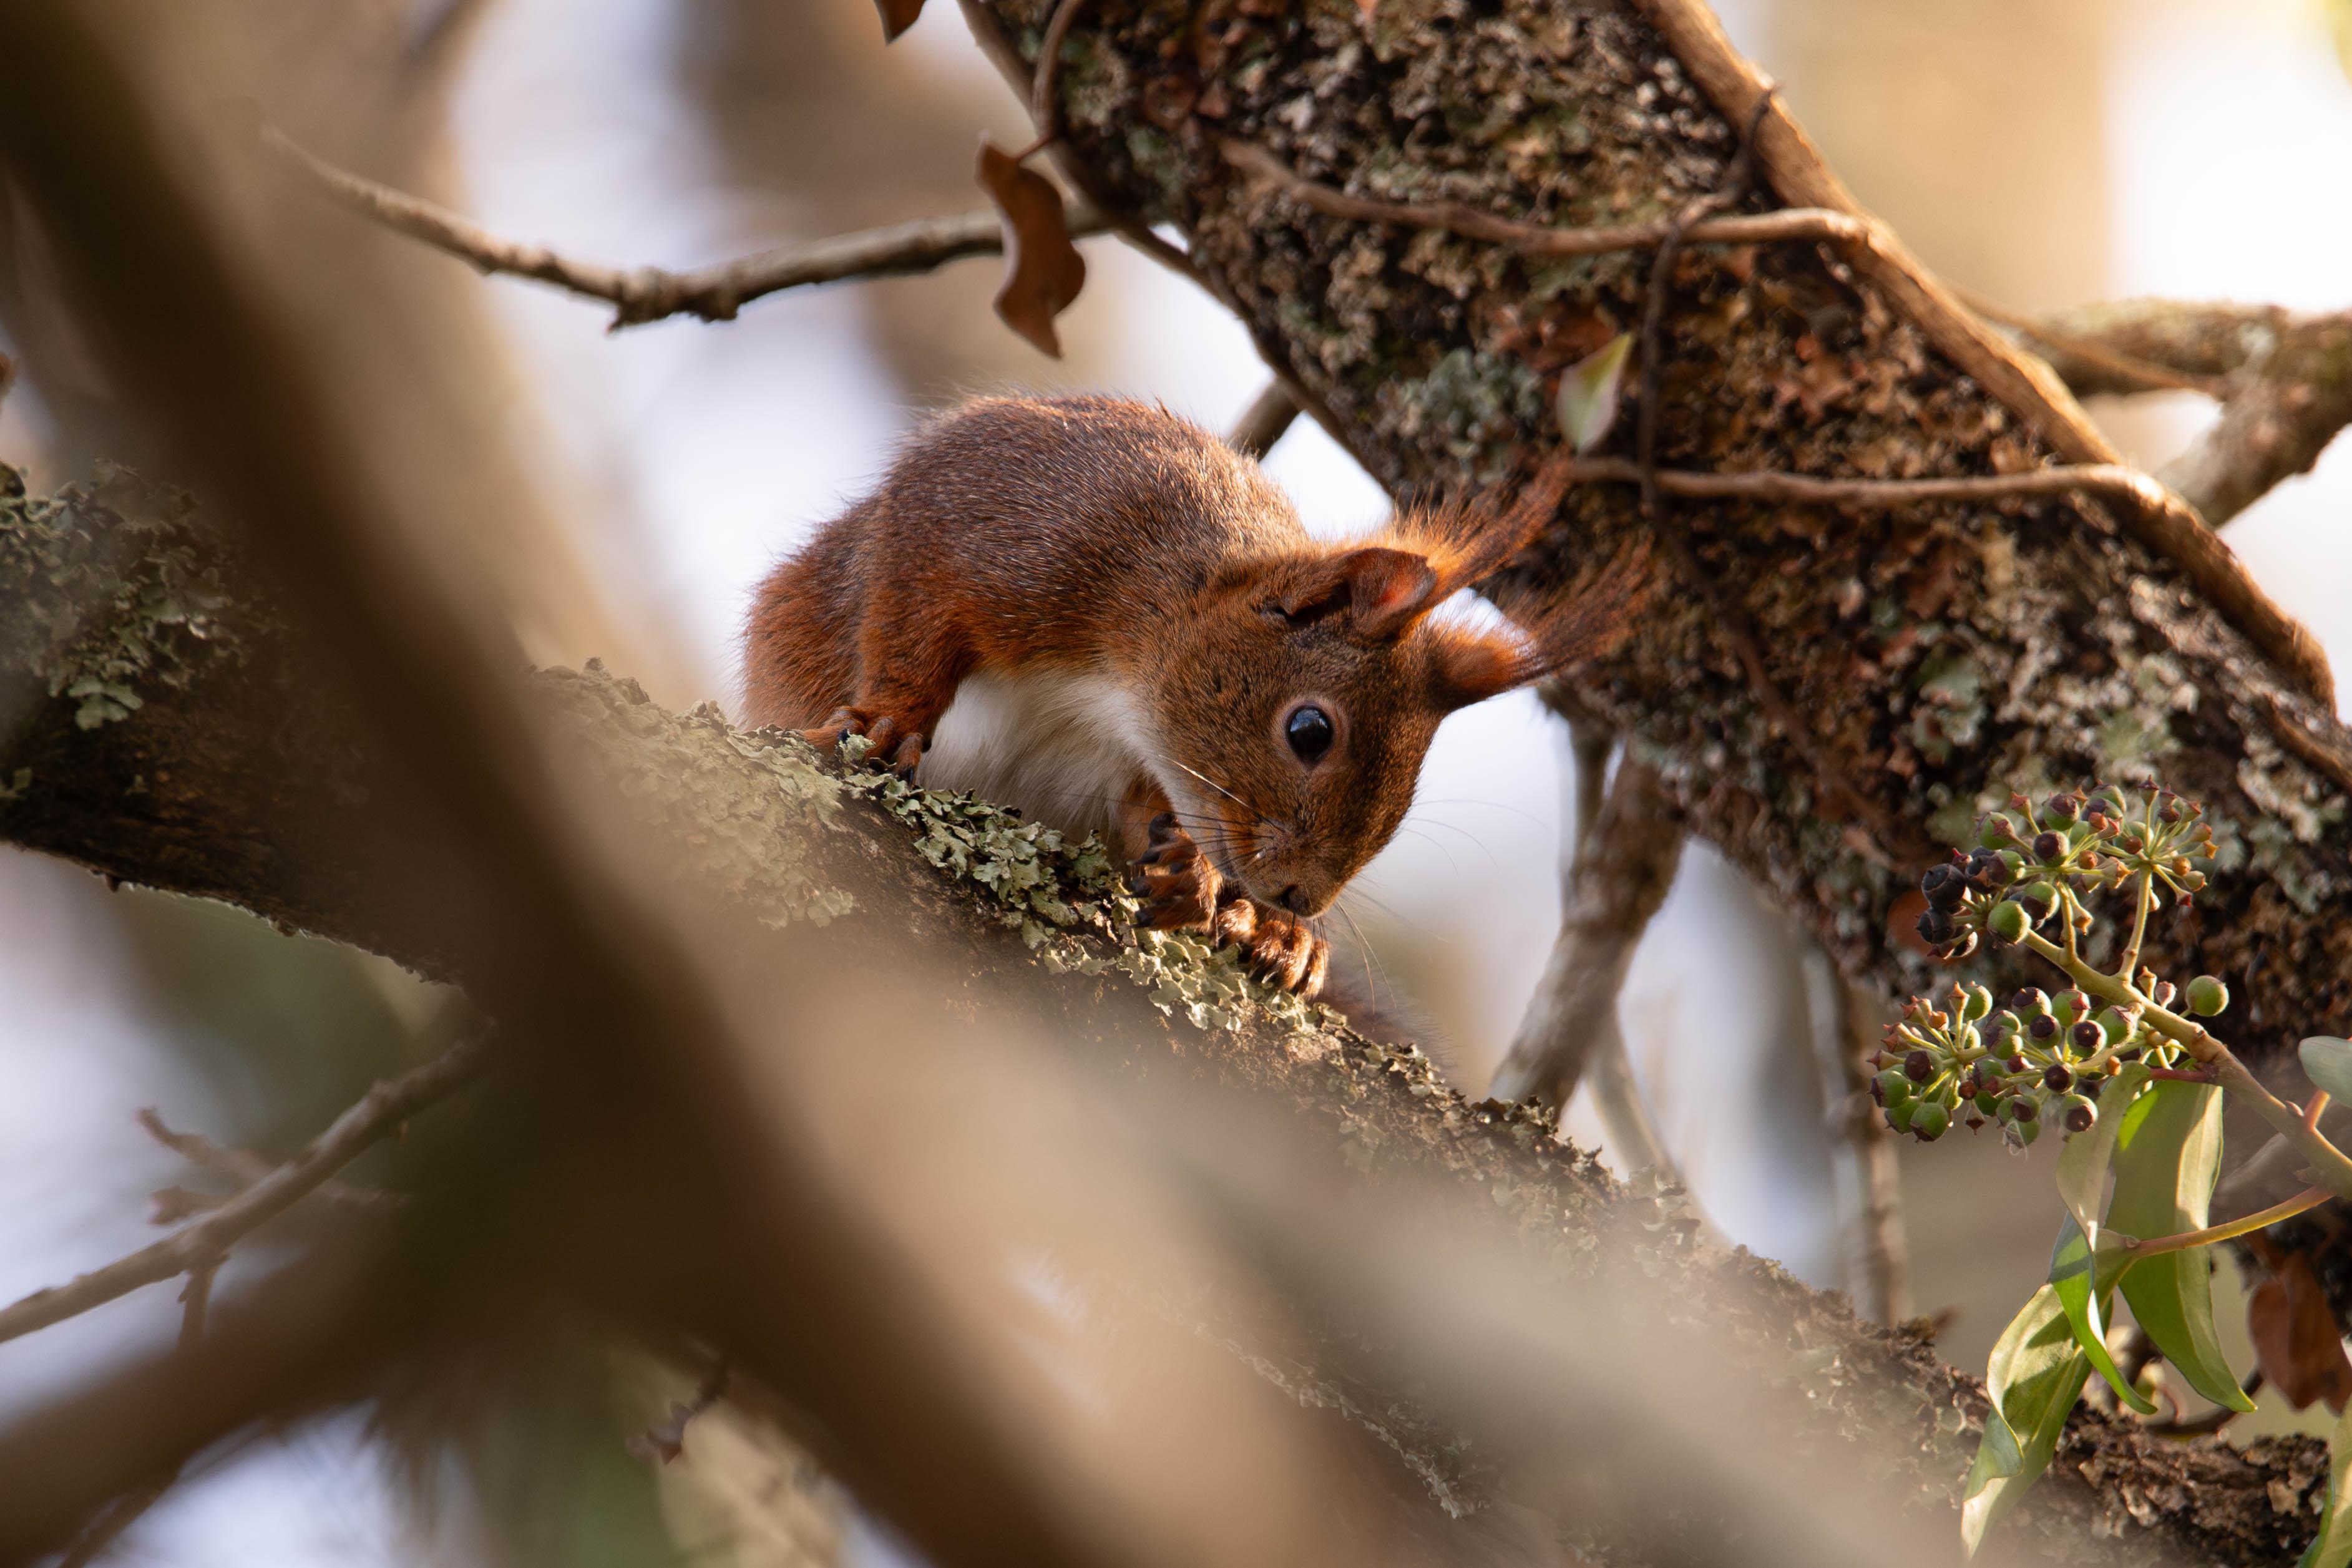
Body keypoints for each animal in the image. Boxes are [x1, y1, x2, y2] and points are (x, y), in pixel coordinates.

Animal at [743, 399, 1646, 1001]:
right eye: (1309, 729)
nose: (1298, 895)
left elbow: (1147, 808)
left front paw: (1202, 883)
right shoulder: (993, 515)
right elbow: (912, 612)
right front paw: (888, 717)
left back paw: (1279, 940)